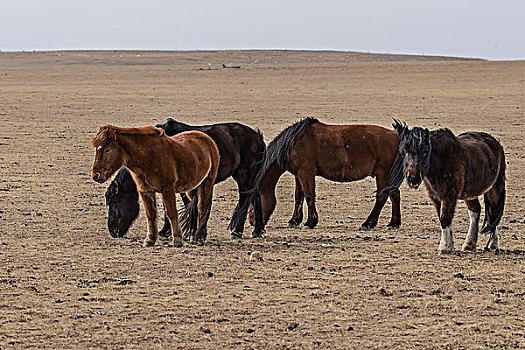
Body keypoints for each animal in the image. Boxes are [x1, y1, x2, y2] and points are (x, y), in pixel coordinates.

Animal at [105, 119, 266, 239]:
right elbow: (167, 207)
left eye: (114, 202)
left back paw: (237, 232)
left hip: (244, 176)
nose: (112, 231)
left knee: (245, 199)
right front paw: (166, 231)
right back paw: (257, 230)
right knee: (255, 197)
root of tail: (257, 136)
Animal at [235, 117, 400, 232]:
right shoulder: (298, 175)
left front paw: (310, 222)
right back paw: (393, 223)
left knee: (382, 196)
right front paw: (294, 220)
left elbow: (309, 196)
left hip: (382, 174)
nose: (252, 222)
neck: (292, 144)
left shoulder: (306, 173)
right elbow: (299, 196)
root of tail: (395, 135)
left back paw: (368, 223)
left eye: (254, 202)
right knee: (394, 195)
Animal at [380, 120, 504, 254]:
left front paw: (444, 247)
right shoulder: (435, 197)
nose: (413, 178)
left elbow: (445, 218)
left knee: (493, 212)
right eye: (405, 151)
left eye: (425, 152)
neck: (440, 162)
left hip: (494, 188)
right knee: (475, 212)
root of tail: (495, 142)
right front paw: (449, 245)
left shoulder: (449, 195)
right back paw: (469, 244)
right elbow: (442, 218)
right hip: (469, 194)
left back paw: (493, 244)